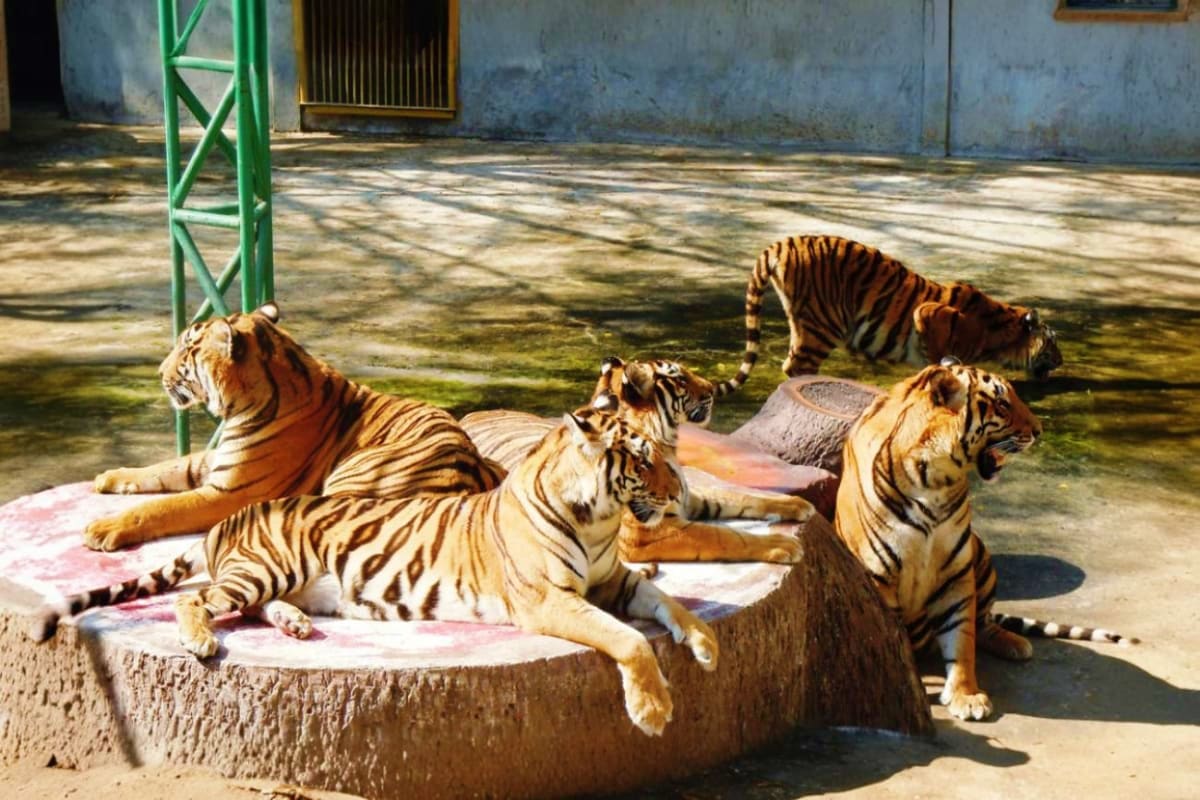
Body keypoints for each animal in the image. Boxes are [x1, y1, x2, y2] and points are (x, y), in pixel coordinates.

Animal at [34, 406, 717, 738]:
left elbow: (667, 601)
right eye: (643, 461)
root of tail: (231, 519)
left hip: (274, 578)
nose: (676, 491)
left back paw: (295, 625)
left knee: (244, 604)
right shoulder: (549, 599)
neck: (599, 518)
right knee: (197, 599)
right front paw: (653, 711)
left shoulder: (613, 578)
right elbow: (628, 640)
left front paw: (705, 643)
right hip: (264, 565)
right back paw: (201, 640)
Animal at [83, 304, 505, 551]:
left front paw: (105, 528)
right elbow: (167, 466)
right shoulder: (217, 460)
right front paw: (110, 476)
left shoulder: (230, 491)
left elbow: (162, 507)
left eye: (187, 350)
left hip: (352, 478)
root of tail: (471, 475)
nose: (158, 372)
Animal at [461, 356, 815, 565]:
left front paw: (798, 505)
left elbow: (738, 496)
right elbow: (724, 536)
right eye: (681, 379)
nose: (712, 389)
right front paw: (784, 546)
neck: (667, 442)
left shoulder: (686, 497)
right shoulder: (649, 530)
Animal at [715, 234, 1063, 396]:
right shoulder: (929, 314)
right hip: (823, 325)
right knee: (797, 366)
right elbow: (939, 358)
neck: (998, 333)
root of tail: (780, 243)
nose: (1061, 362)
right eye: (1053, 342)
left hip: (805, 324)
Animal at [835, 361, 1134, 721]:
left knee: (984, 622)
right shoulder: (879, 577)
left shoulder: (956, 569)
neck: (934, 480)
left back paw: (1015, 643)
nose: (1039, 430)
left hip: (982, 555)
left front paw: (967, 696)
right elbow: (897, 640)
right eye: (1003, 404)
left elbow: (962, 637)